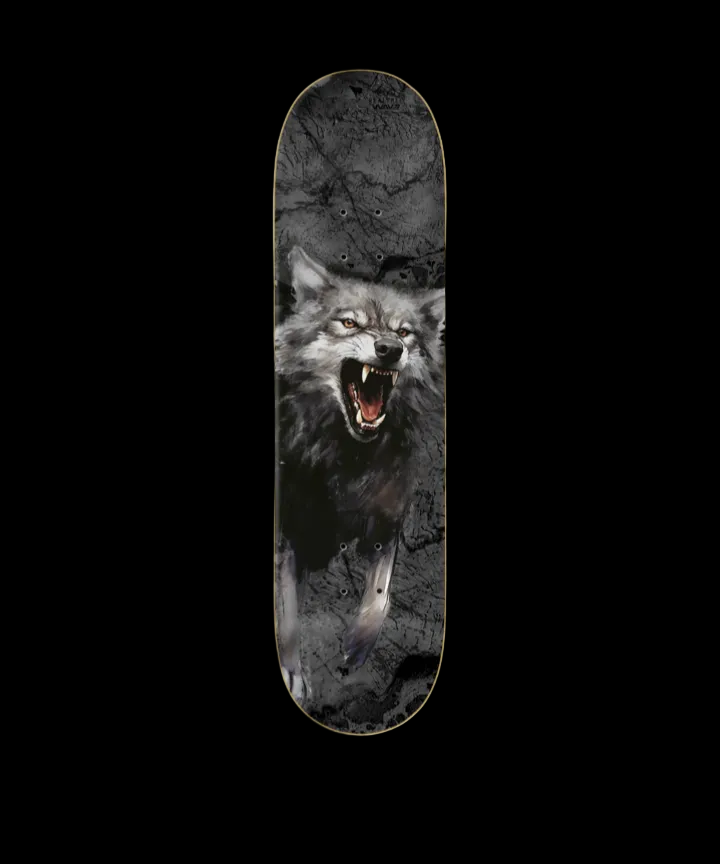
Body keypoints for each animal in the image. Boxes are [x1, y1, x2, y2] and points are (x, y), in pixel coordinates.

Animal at [275, 246, 444, 703]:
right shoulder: (289, 532)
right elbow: (288, 613)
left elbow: (381, 596)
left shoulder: (388, 520)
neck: (349, 458)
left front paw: (356, 647)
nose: (388, 348)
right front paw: (292, 675)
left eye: (404, 332)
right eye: (350, 322)